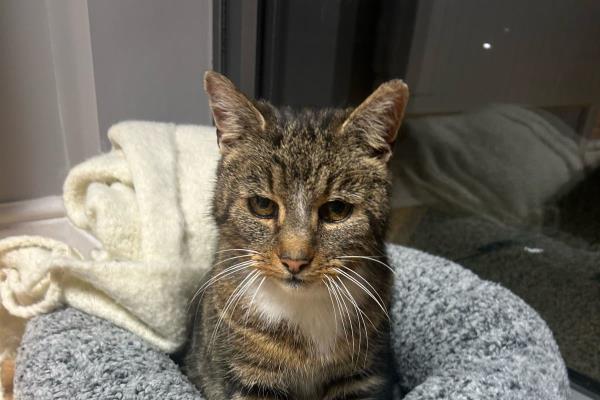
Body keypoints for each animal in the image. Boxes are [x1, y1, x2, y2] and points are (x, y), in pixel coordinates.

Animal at [183, 71, 408, 400]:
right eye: (262, 205)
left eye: (336, 209)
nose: (294, 260)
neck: (303, 309)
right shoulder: (250, 379)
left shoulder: (363, 376)